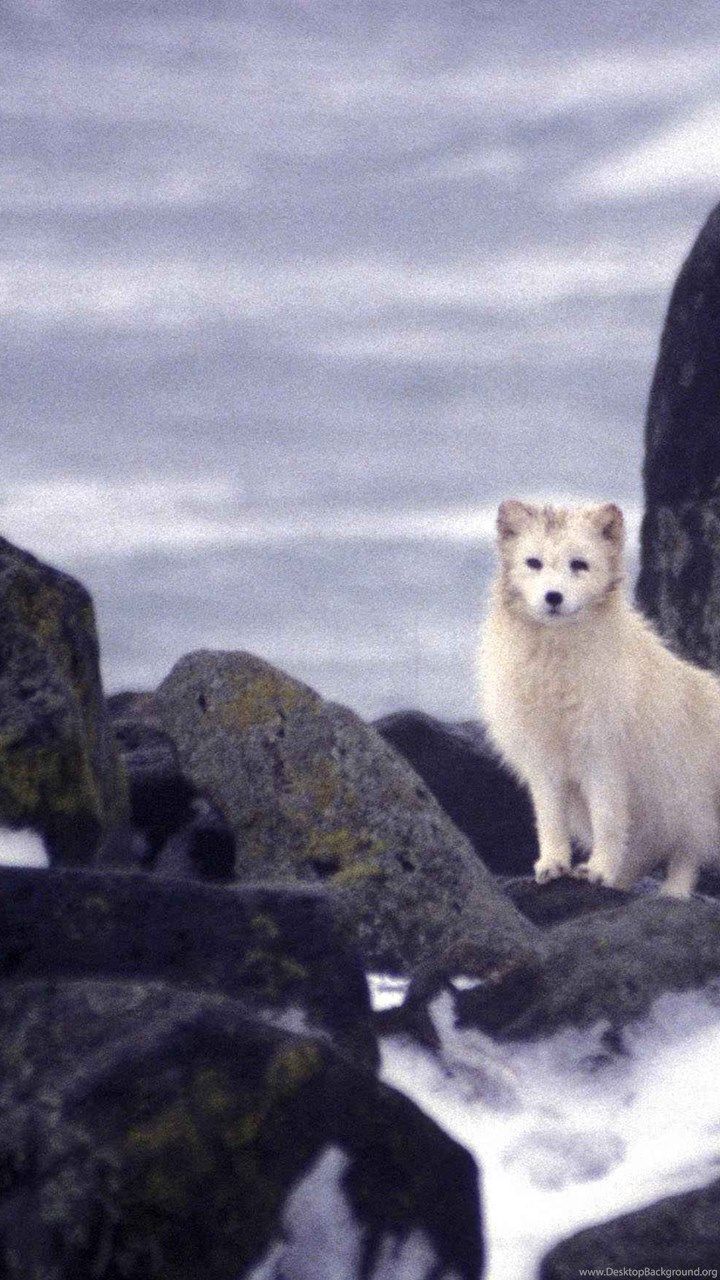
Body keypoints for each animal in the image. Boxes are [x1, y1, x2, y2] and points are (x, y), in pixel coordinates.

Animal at [478, 499, 720, 897]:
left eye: (579, 564)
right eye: (534, 563)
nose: (553, 597)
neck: (556, 668)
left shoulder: (602, 757)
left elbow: (607, 821)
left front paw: (597, 871)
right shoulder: (544, 761)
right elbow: (549, 820)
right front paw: (554, 865)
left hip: (687, 806)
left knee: (686, 855)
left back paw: (672, 895)